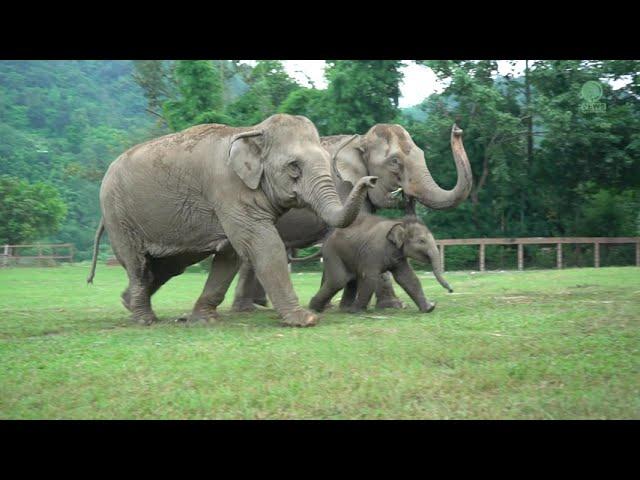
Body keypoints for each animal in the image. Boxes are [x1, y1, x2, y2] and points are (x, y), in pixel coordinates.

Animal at [85, 114, 376, 328]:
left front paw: (204, 320)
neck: (252, 130)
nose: (371, 179)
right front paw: (305, 320)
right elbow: (262, 244)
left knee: (168, 266)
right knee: (138, 263)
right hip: (119, 216)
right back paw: (144, 319)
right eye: (294, 167)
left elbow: (231, 254)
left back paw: (128, 304)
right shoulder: (227, 191)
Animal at [232, 124, 472, 312]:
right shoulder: (343, 189)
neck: (359, 141)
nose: (457, 130)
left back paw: (256, 305)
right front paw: (394, 306)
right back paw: (248, 308)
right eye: (394, 162)